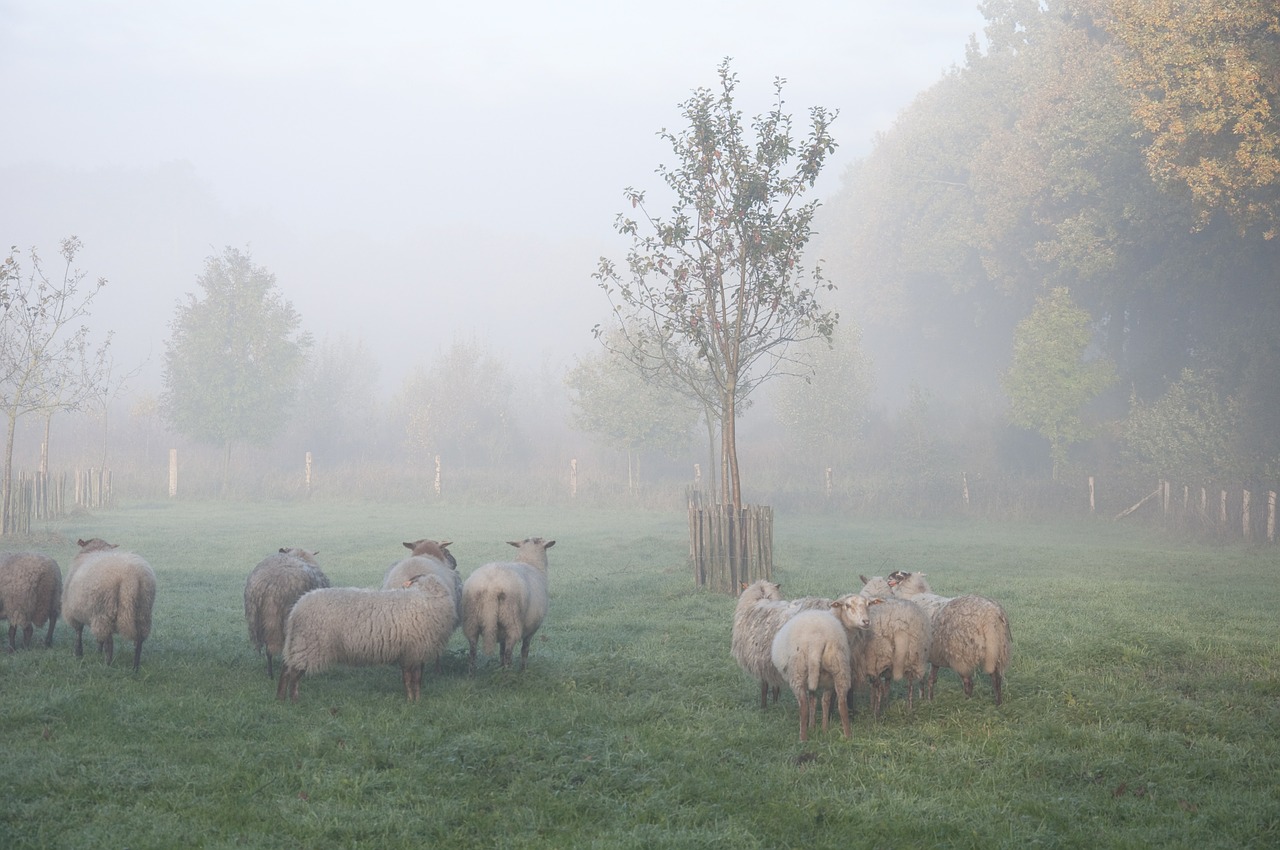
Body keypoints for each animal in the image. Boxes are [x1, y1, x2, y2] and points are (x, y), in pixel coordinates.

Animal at [62, 537, 154, 670]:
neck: (96, 549)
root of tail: (130, 577)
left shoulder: (72, 613)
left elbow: (78, 632)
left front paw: (78, 653)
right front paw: (97, 652)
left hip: (104, 611)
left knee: (109, 642)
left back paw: (107, 665)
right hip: (143, 611)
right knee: (139, 641)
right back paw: (135, 667)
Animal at [277, 570, 458, 701]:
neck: (425, 595)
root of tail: (296, 609)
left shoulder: (414, 652)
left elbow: (417, 679)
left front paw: (417, 699)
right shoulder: (411, 651)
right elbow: (409, 679)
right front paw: (411, 700)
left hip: (298, 644)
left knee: (286, 669)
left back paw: (280, 697)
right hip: (308, 644)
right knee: (294, 674)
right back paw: (294, 699)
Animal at [463, 537, 558, 670]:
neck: (531, 562)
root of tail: (491, 587)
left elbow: (501, 650)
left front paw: (501, 664)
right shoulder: (532, 629)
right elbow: (524, 650)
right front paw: (523, 669)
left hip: (471, 621)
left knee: (472, 651)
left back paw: (472, 672)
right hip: (511, 621)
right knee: (509, 652)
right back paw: (508, 672)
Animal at [762, 593, 875, 742]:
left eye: (868, 604)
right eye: (847, 605)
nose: (866, 621)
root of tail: (817, 640)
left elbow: (812, 701)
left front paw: (812, 726)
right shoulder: (825, 680)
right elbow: (818, 701)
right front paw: (819, 728)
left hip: (798, 672)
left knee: (803, 706)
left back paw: (803, 739)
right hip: (838, 667)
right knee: (841, 703)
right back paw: (847, 736)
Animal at [890, 573, 1008, 706]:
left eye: (898, 576)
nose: (888, 579)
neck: (913, 593)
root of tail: (990, 615)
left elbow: (918, 680)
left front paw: (918, 699)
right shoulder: (934, 654)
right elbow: (931, 678)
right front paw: (929, 699)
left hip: (961, 654)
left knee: (968, 682)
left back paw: (967, 701)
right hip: (995, 651)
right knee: (996, 678)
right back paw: (998, 703)